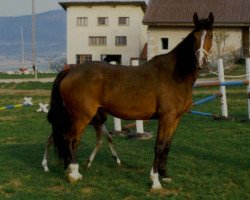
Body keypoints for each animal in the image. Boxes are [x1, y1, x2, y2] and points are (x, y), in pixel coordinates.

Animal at [45, 12, 213, 189]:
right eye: (194, 36)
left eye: (210, 35)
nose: (201, 62)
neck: (175, 74)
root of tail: (70, 70)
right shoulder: (165, 117)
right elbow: (159, 146)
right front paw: (155, 180)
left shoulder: (175, 119)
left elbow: (167, 145)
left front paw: (165, 175)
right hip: (81, 117)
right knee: (71, 139)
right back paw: (74, 174)